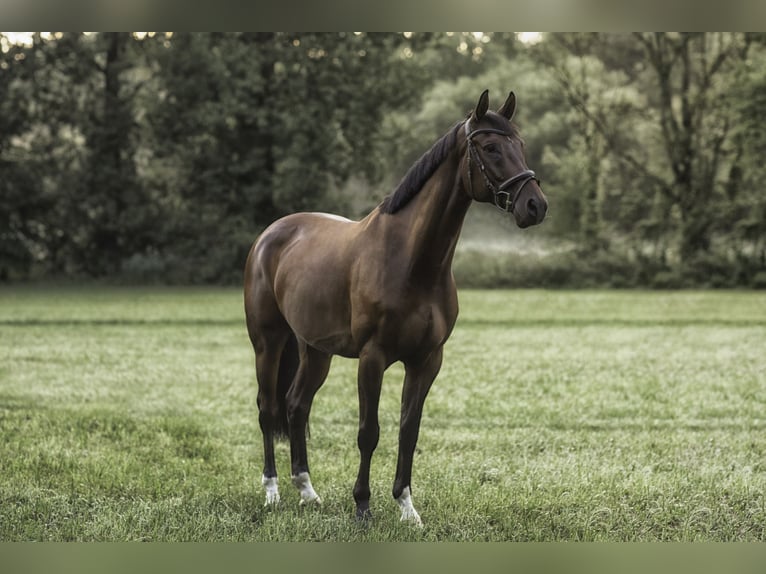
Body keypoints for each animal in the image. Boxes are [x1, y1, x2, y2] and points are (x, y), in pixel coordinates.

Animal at [243, 89, 548, 528]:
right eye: (491, 147)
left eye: (520, 145)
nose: (535, 206)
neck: (411, 260)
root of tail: (270, 234)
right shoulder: (373, 358)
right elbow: (369, 432)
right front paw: (363, 507)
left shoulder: (427, 360)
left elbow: (409, 430)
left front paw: (407, 507)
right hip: (268, 343)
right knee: (268, 409)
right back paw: (272, 493)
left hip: (314, 350)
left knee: (296, 405)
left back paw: (307, 491)